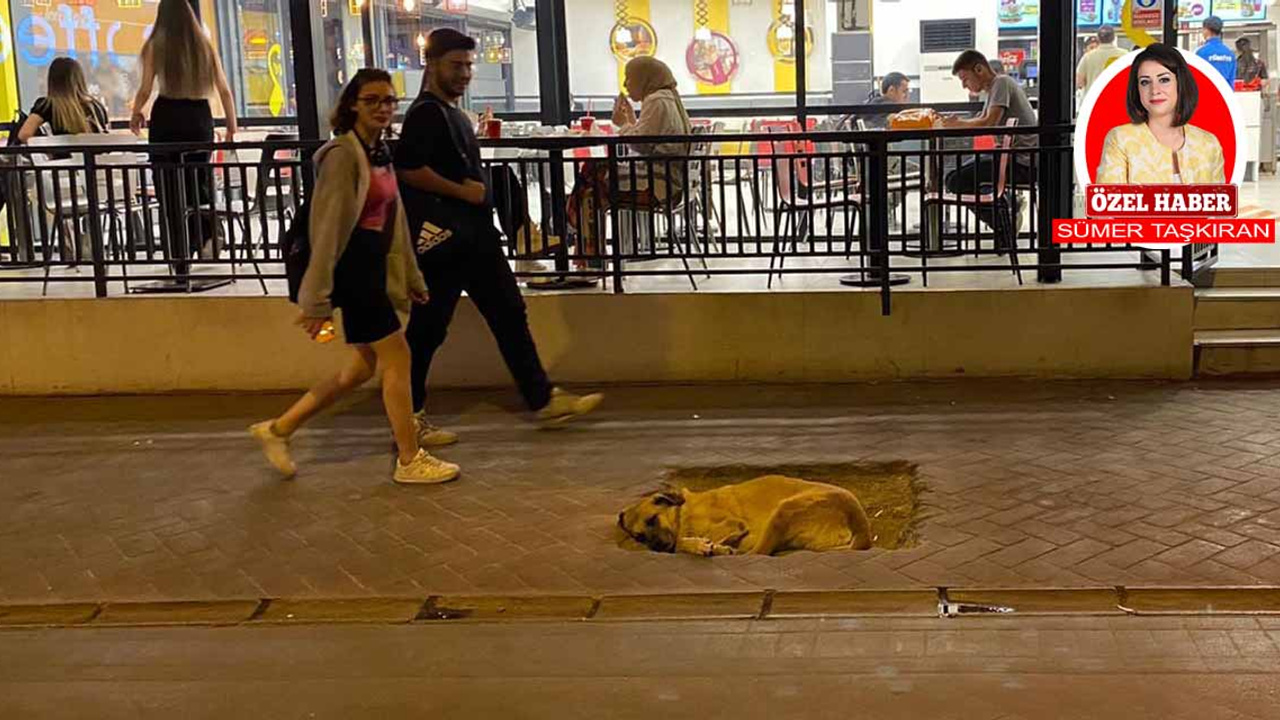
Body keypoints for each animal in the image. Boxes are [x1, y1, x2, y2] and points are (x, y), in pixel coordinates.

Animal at [614, 476, 875, 556]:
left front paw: (696, 544)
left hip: (785, 509)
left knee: (758, 553)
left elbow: (678, 541)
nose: (658, 549)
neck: (682, 513)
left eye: (653, 519)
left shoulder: (733, 523)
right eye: (638, 536)